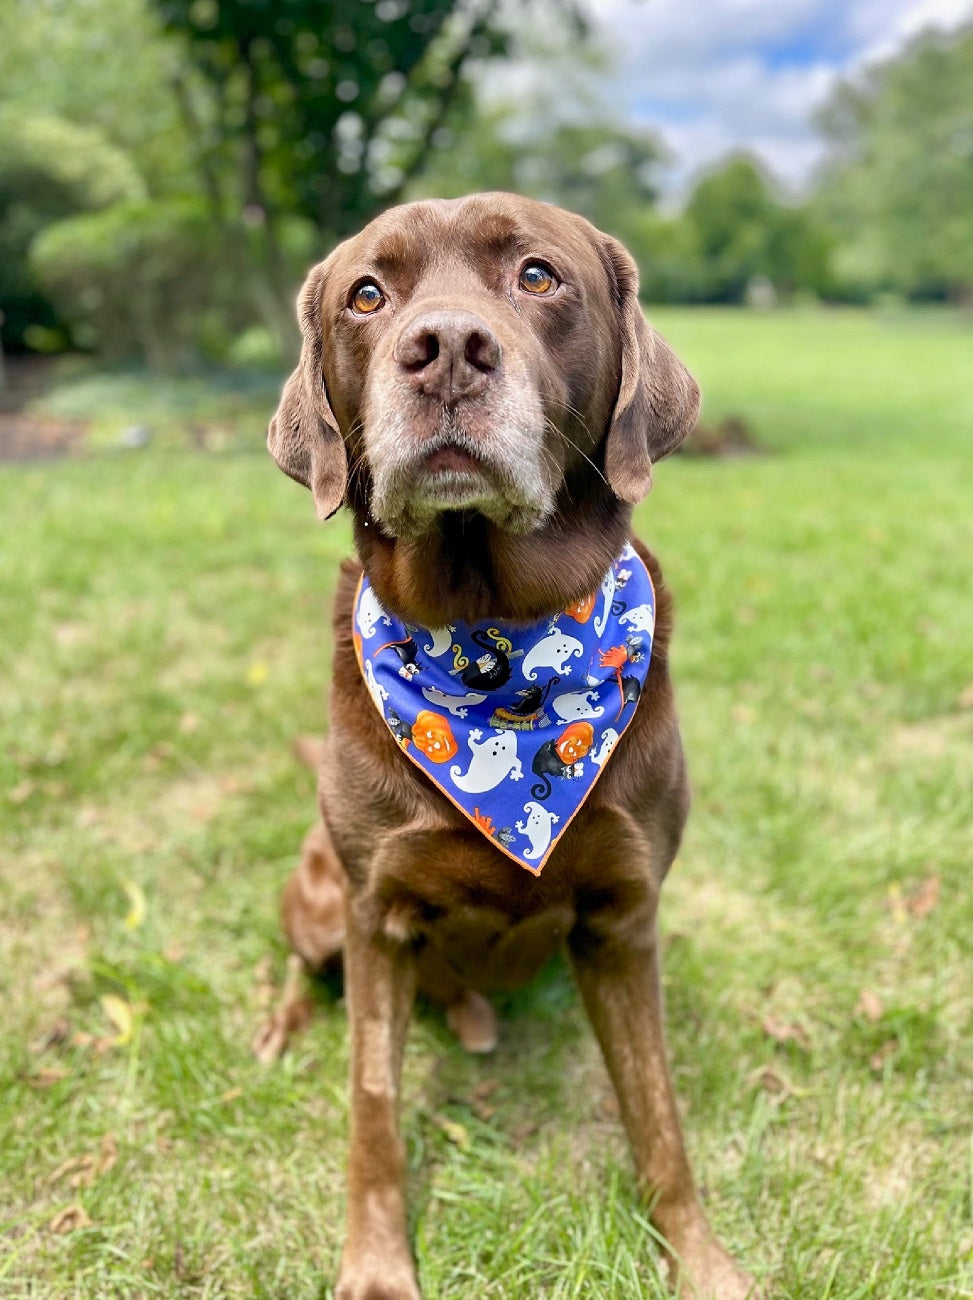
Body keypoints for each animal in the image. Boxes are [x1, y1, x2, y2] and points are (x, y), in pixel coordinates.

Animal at [269, 192, 754, 1300]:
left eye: (537, 275)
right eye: (368, 294)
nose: (445, 348)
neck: (490, 640)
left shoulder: (624, 918)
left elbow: (658, 1119)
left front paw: (699, 1260)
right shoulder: (373, 914)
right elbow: (371, 1109)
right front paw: (376, 1268)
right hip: (315, 895)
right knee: (299, 968)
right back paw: (281, 1028)